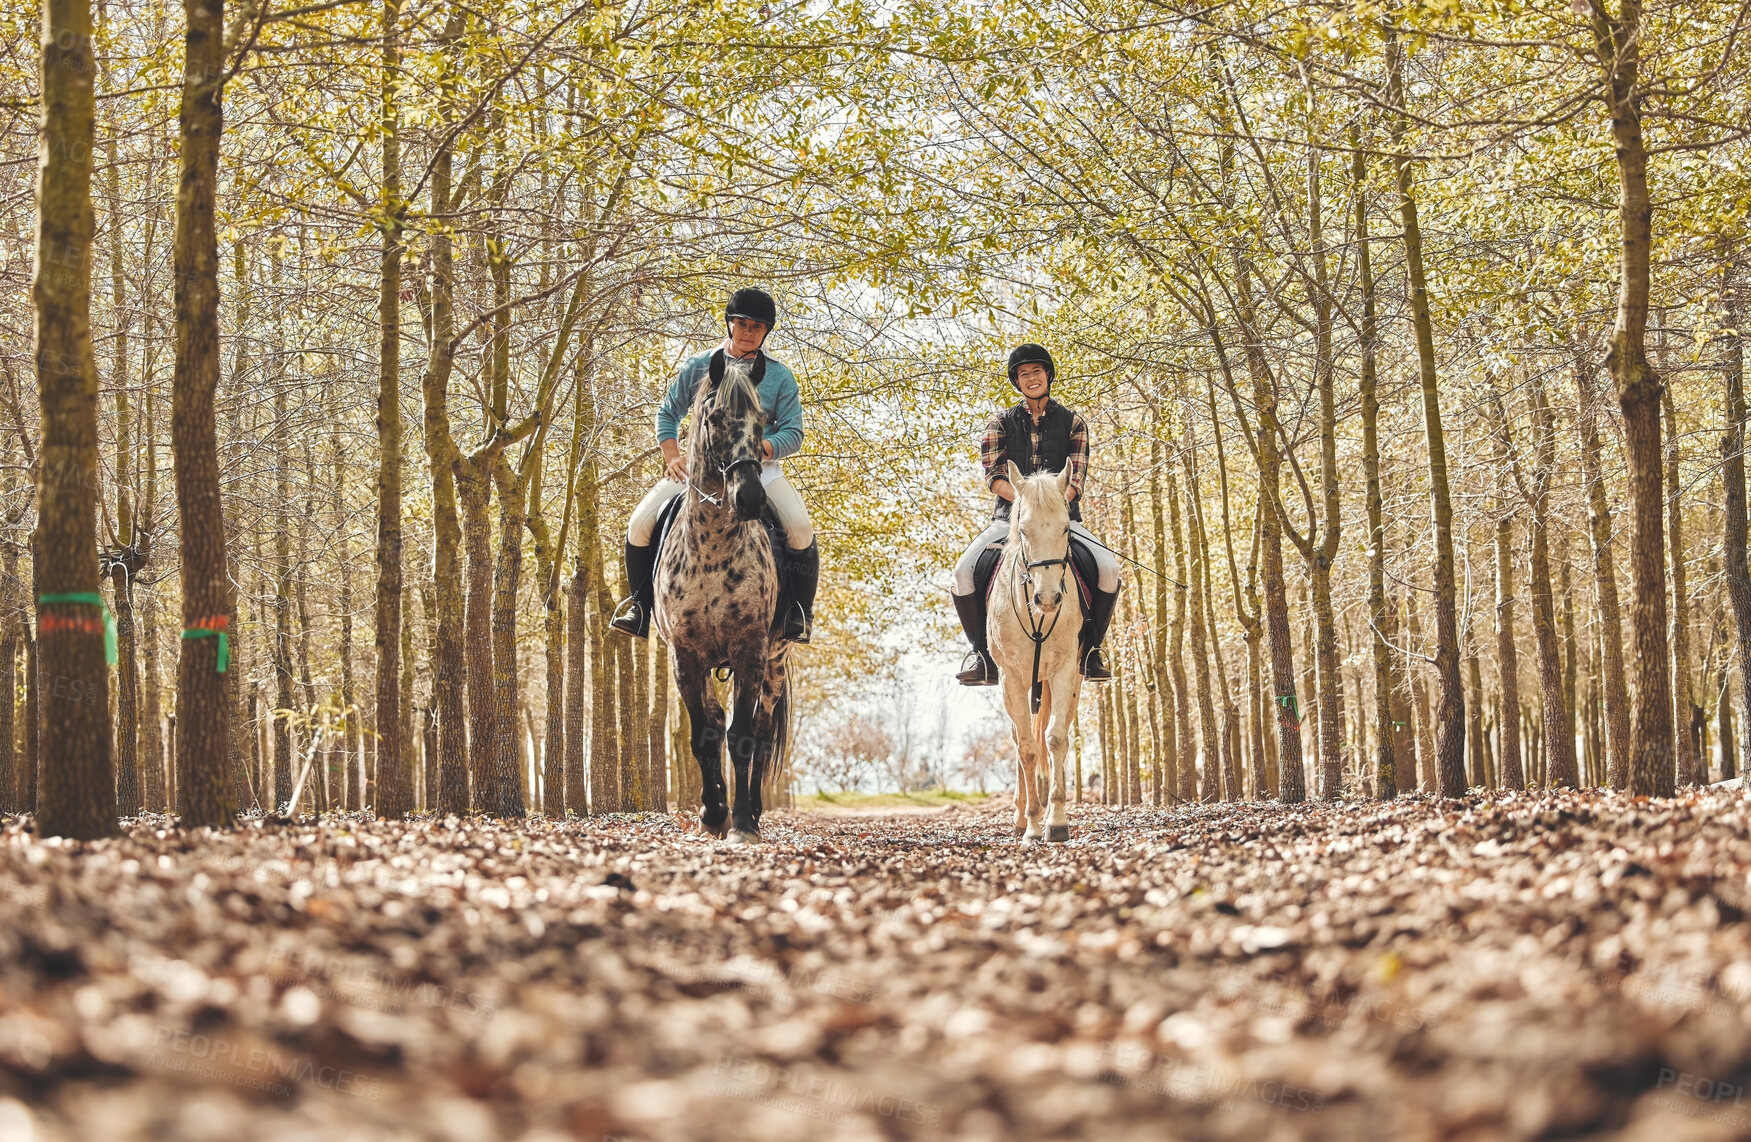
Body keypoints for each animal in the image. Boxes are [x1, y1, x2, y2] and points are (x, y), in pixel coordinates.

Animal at [654, 357, 791, 847]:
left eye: (763, 422)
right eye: (714, 419)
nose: (749, 497)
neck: (712, 549)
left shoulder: (750, 651)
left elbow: (744, 737)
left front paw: (743, 821)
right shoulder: (685, 654)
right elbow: (704, 734)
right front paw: (712, 815)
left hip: (775, 661)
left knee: (764, 733)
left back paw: (754, 810)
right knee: (714, 722)